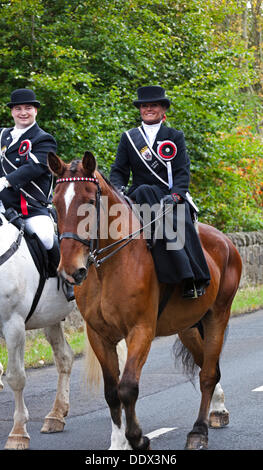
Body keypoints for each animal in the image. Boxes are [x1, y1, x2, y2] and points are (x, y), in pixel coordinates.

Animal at [0, 212, 79, 448]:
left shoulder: (14, 325)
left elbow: (16, 377)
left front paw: (18, 433)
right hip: (51, 319)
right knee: (65, 358)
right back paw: (56, 415)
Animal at [48, 151, 243, 452]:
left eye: (90, 202)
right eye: (56, 203)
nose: (71, 270)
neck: (108, 267)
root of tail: (225, 240)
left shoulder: (140, 331)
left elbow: (128, 387)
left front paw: (138, 438)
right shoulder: (98, 335)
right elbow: (111, 391)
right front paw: (119, 443)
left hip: (217, 317)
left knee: (208, 374)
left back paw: (199, 431)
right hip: (187, 328)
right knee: (208, 366)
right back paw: (216, 411)